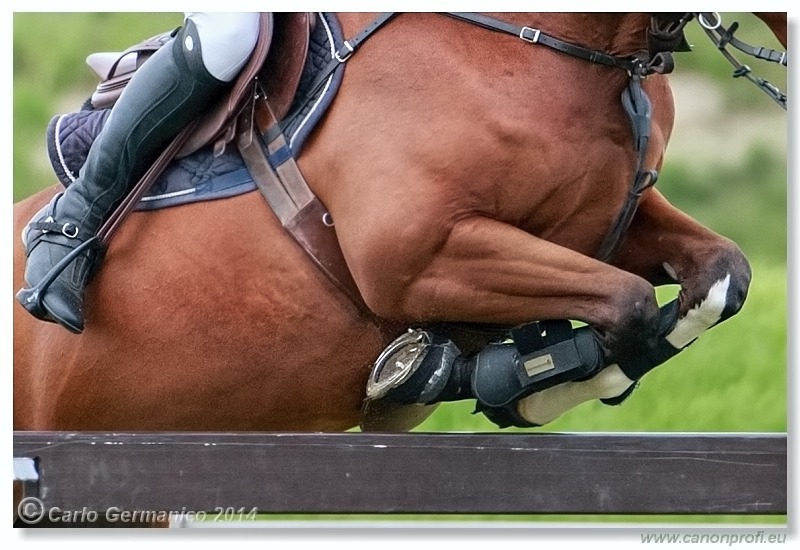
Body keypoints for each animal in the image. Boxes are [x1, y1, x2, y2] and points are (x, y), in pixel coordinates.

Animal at [12, 11, 788, 436]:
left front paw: (508, 379)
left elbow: (720, 276)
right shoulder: (417, 257)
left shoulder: (606, 223)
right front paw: (512, 376)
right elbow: (628, 302)